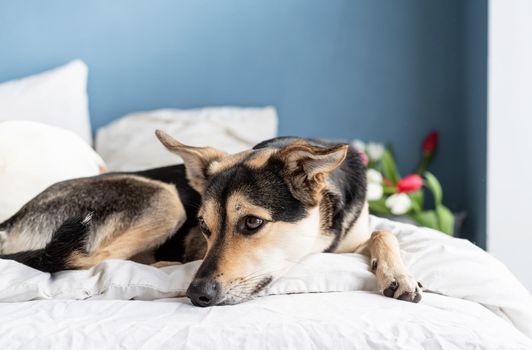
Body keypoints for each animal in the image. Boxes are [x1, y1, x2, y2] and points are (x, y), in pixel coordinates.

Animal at [1, 131, 424, 306]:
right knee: (87, 258)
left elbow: (384, 233)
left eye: (252, 223)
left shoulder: (353, 234)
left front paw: (398, 274)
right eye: (204, 227)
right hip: (166, 199)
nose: (197, 296)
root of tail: (10, 221)